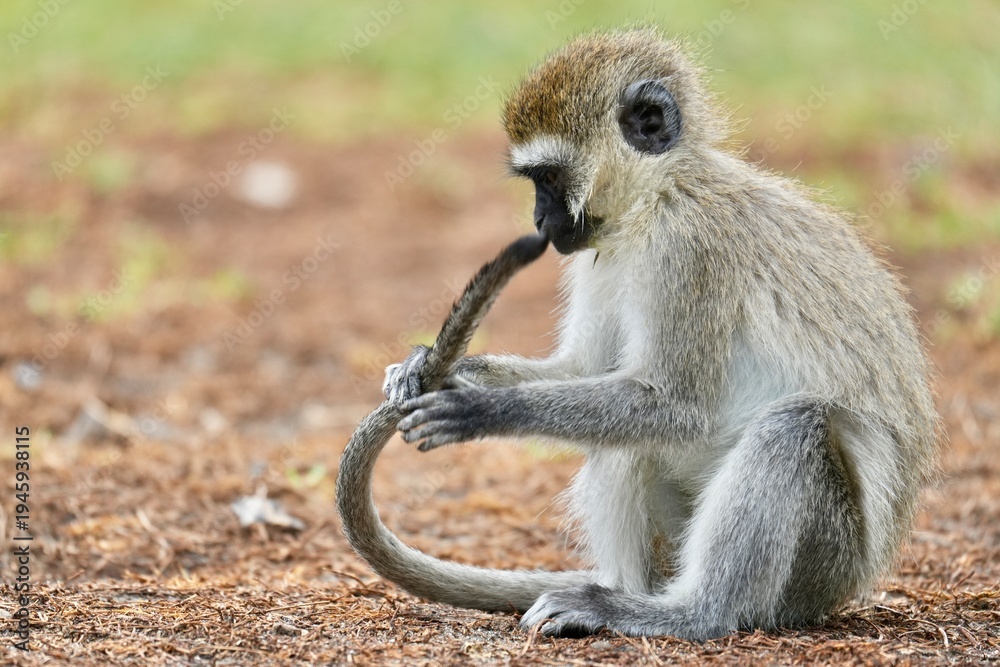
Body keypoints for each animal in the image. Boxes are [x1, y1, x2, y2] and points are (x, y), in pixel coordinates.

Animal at [345, 28, 938, 640]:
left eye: (549, 178)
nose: (538, 222)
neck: (657, 197)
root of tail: (851, 583)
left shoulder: (689, 245)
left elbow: (678, 405)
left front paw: (484, 409)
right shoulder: (599, 253)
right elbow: (584, 370)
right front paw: (436, 369)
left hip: (823, 562)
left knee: (792, 427)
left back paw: (686, 613)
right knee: (624, 434)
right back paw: (622, 594)